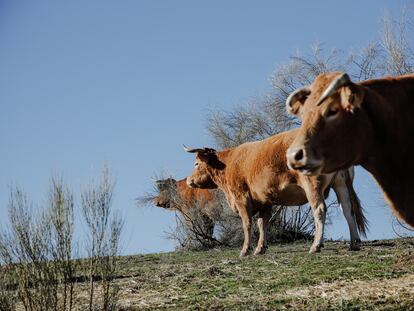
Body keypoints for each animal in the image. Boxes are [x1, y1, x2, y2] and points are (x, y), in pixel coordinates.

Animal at [184, 129, 366, 258]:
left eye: (196, 163)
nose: (189, 180)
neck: (229, 164)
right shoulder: (265, 201)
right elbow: (262, 223)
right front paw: (260, 248)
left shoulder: (241, 197)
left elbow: (247, 223)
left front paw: (245, 250)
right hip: (341, 184)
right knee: (348, 210)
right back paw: (354, 243)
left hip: (312, 186)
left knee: (319, 209)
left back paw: (316, 245)